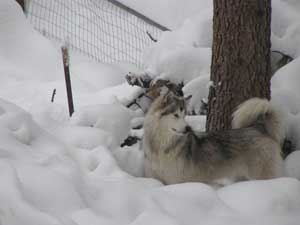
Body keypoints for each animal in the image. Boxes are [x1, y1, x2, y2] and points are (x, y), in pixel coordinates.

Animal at [143, 91, 284, 185]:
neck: (162, 146)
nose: (188, 128)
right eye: (176, 115)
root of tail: (258, 128)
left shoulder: (178, 181)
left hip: (261, 174)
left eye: (184, 115)